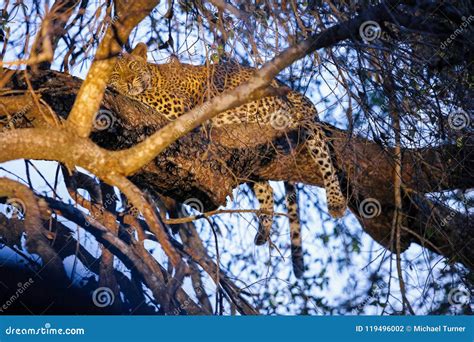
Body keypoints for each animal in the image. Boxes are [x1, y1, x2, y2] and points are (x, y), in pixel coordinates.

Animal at [109, 42, 346, 278]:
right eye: (116, 73)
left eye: (132, 66)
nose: (129, 81)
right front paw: (129, 219)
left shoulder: (177, 106)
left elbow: (143, 96)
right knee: (266, 189)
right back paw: (263, 232)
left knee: (324, 157)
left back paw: (336, 202)